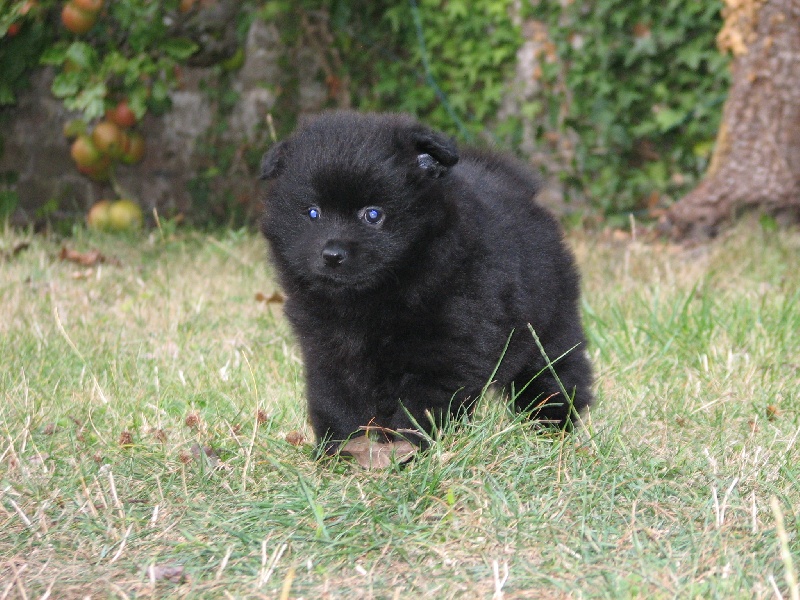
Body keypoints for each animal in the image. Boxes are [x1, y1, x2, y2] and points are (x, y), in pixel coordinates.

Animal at [260, 111, 592, 450]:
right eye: (313, 213)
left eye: (373, 215)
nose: (332, 254)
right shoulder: (327, 349)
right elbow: (335, 400)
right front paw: (340, 451)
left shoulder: (446, 347)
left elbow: (421, 404)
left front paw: (407, 450)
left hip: (548, 323)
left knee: (555, 371)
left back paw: (552, 423)